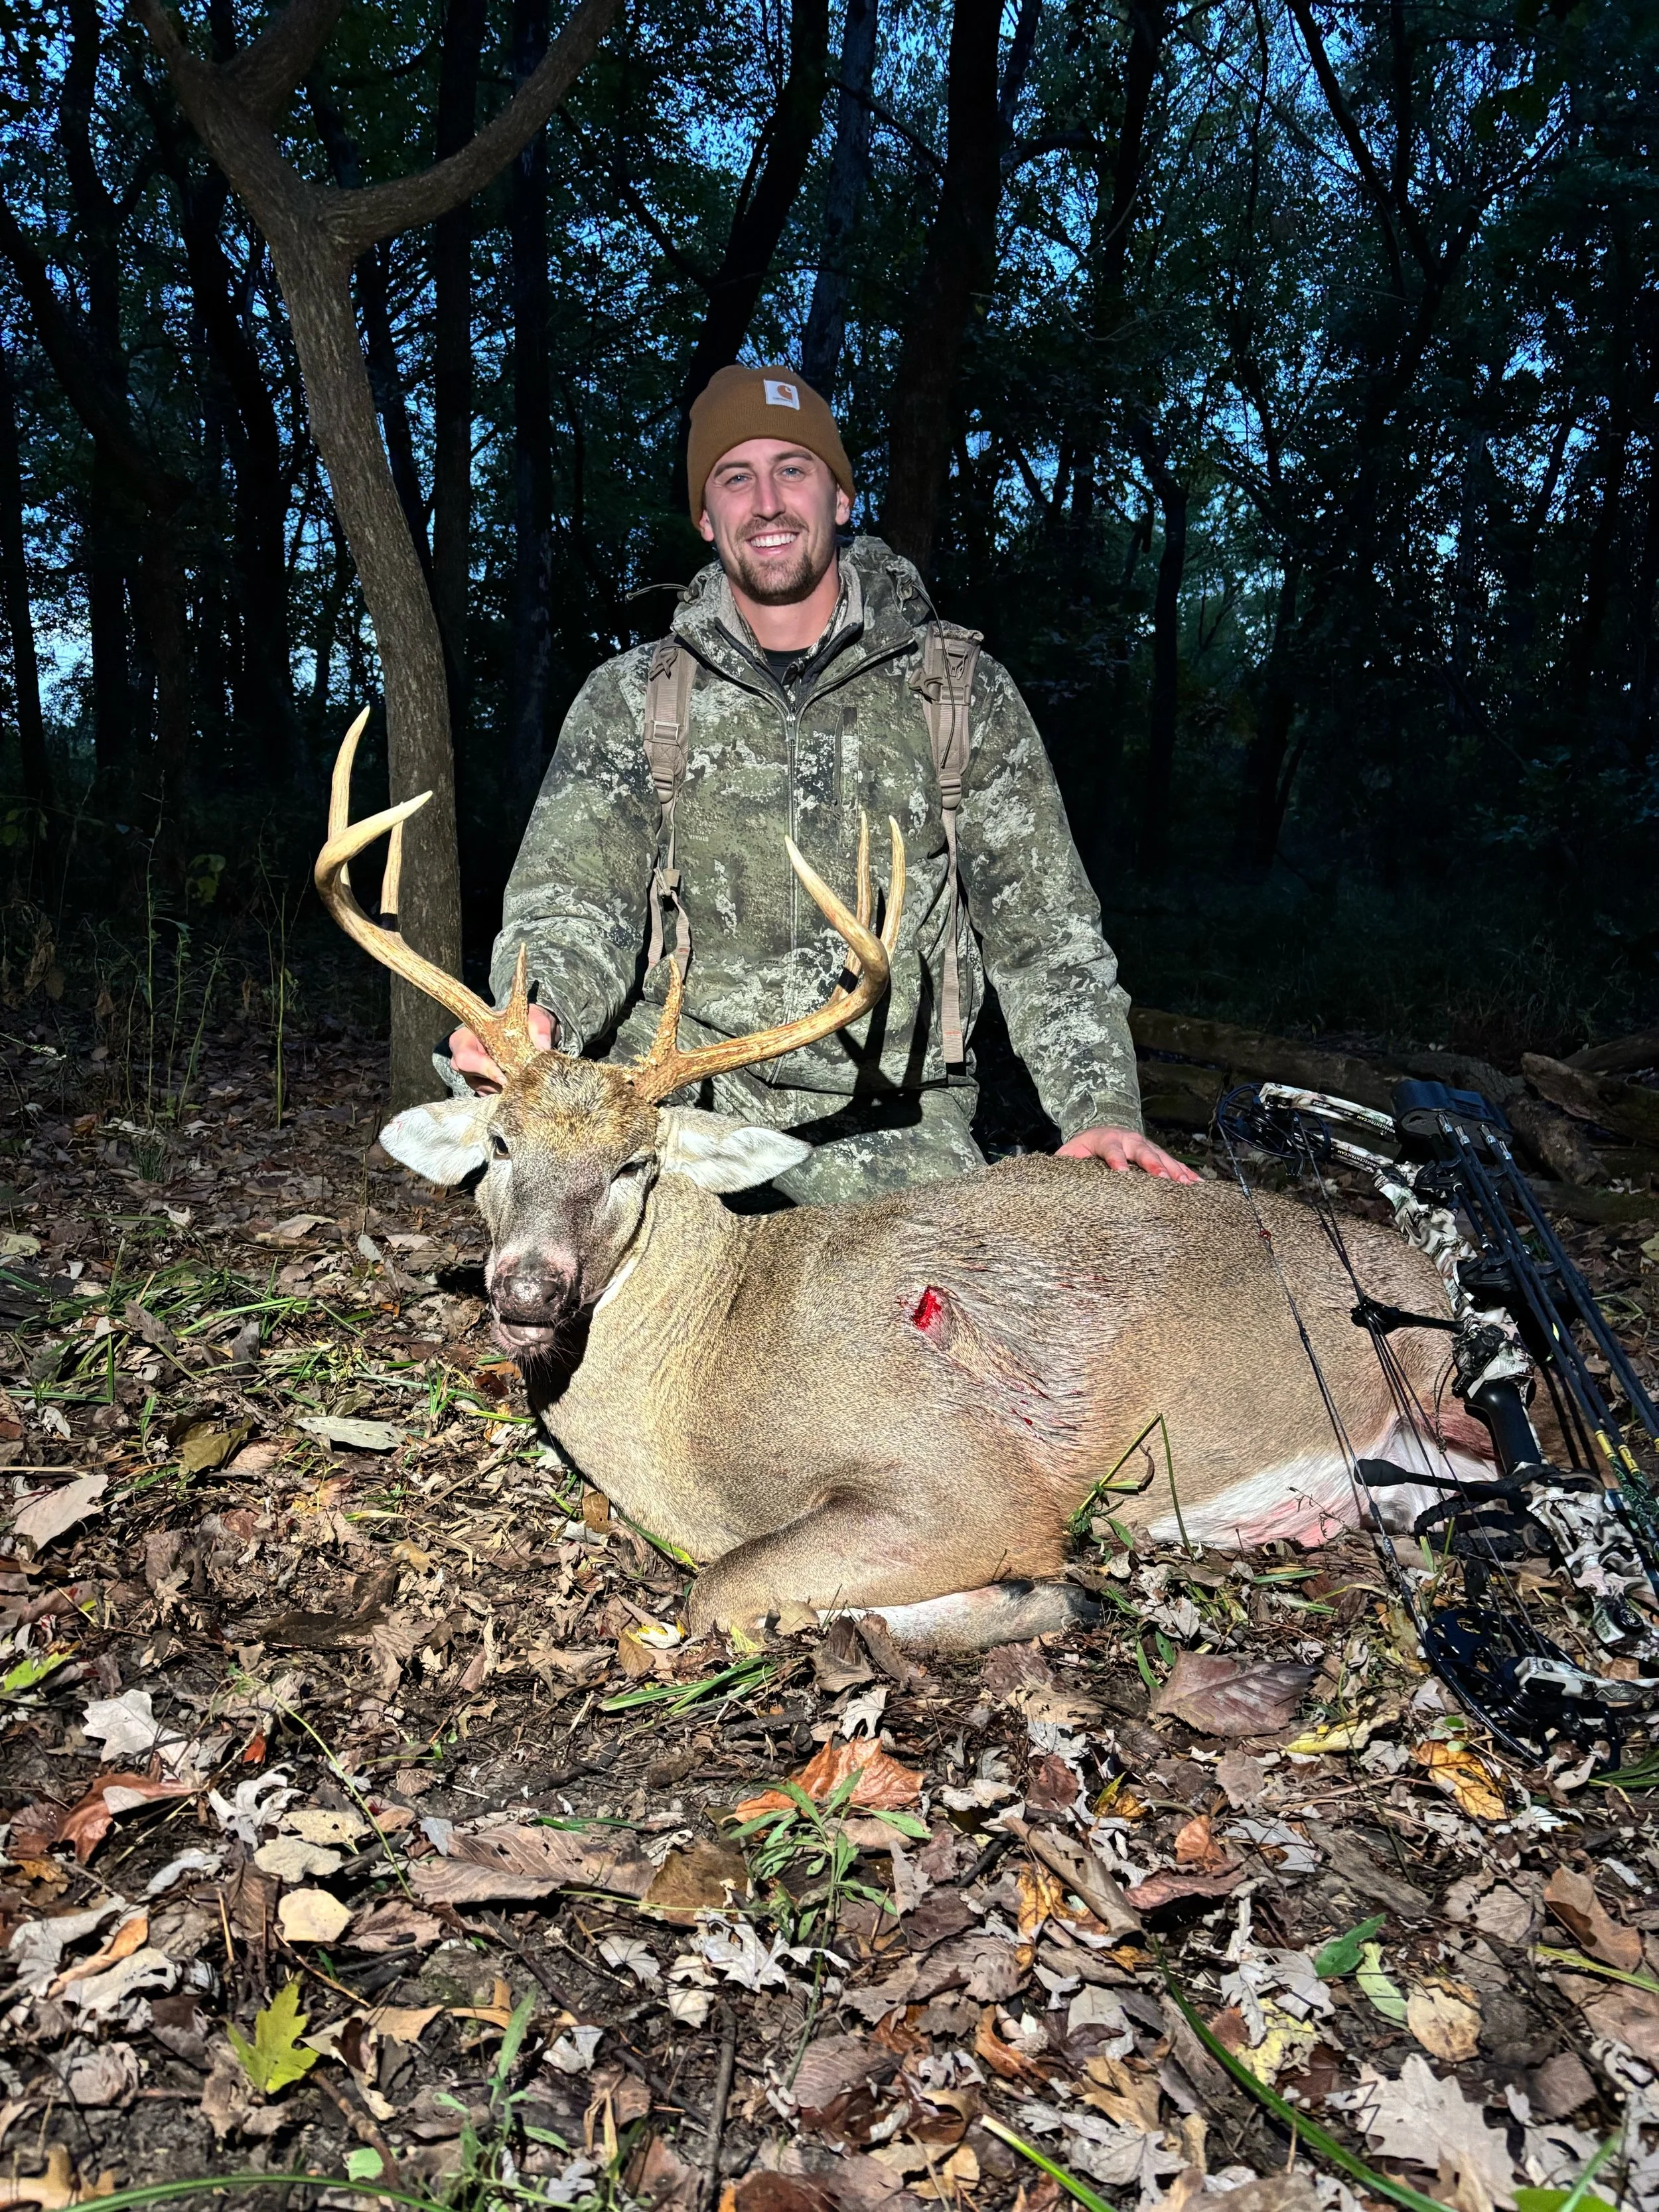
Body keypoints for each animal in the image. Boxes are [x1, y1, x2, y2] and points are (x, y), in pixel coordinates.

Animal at [317, 713, 1490, 1649]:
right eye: (499, 1145)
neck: (702, 1376)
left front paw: (1042, 1596)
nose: (527, 1289)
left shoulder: (970, 1478)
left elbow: (722, 1592)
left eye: (635, 1165)